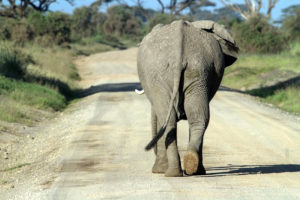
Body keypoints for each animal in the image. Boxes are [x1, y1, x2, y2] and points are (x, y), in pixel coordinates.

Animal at [138, 19, 239, 177]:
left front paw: (158, 170)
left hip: (162, 75)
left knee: (168, 120)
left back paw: (171, 173)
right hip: (199, 70)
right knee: (198, 117)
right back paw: (192, 167)